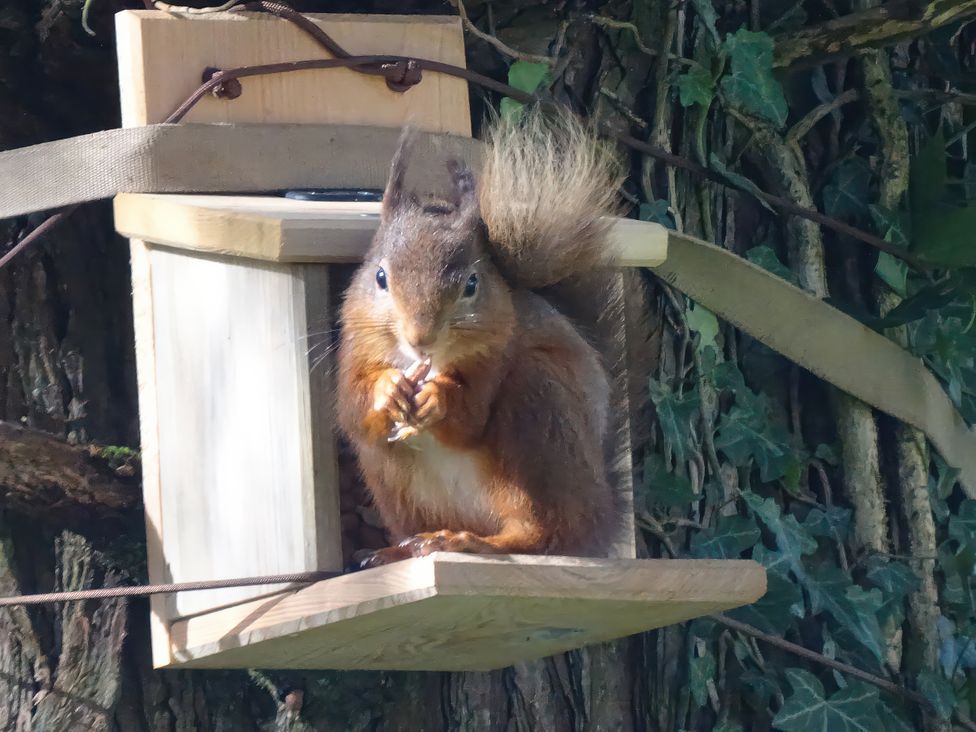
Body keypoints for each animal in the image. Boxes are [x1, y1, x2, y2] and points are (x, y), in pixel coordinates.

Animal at [337, 107, 636, 569]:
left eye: (472, 284)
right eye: (380, 277)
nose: (421, 338)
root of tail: (604, 513)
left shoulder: (496, 356)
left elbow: (470, 416)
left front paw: (436, 397)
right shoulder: (354, 349)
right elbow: (353, 407)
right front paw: (388, 389)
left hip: (539, 418)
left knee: (548, 532)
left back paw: (470, 542)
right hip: (396, 486)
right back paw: (398, 550)